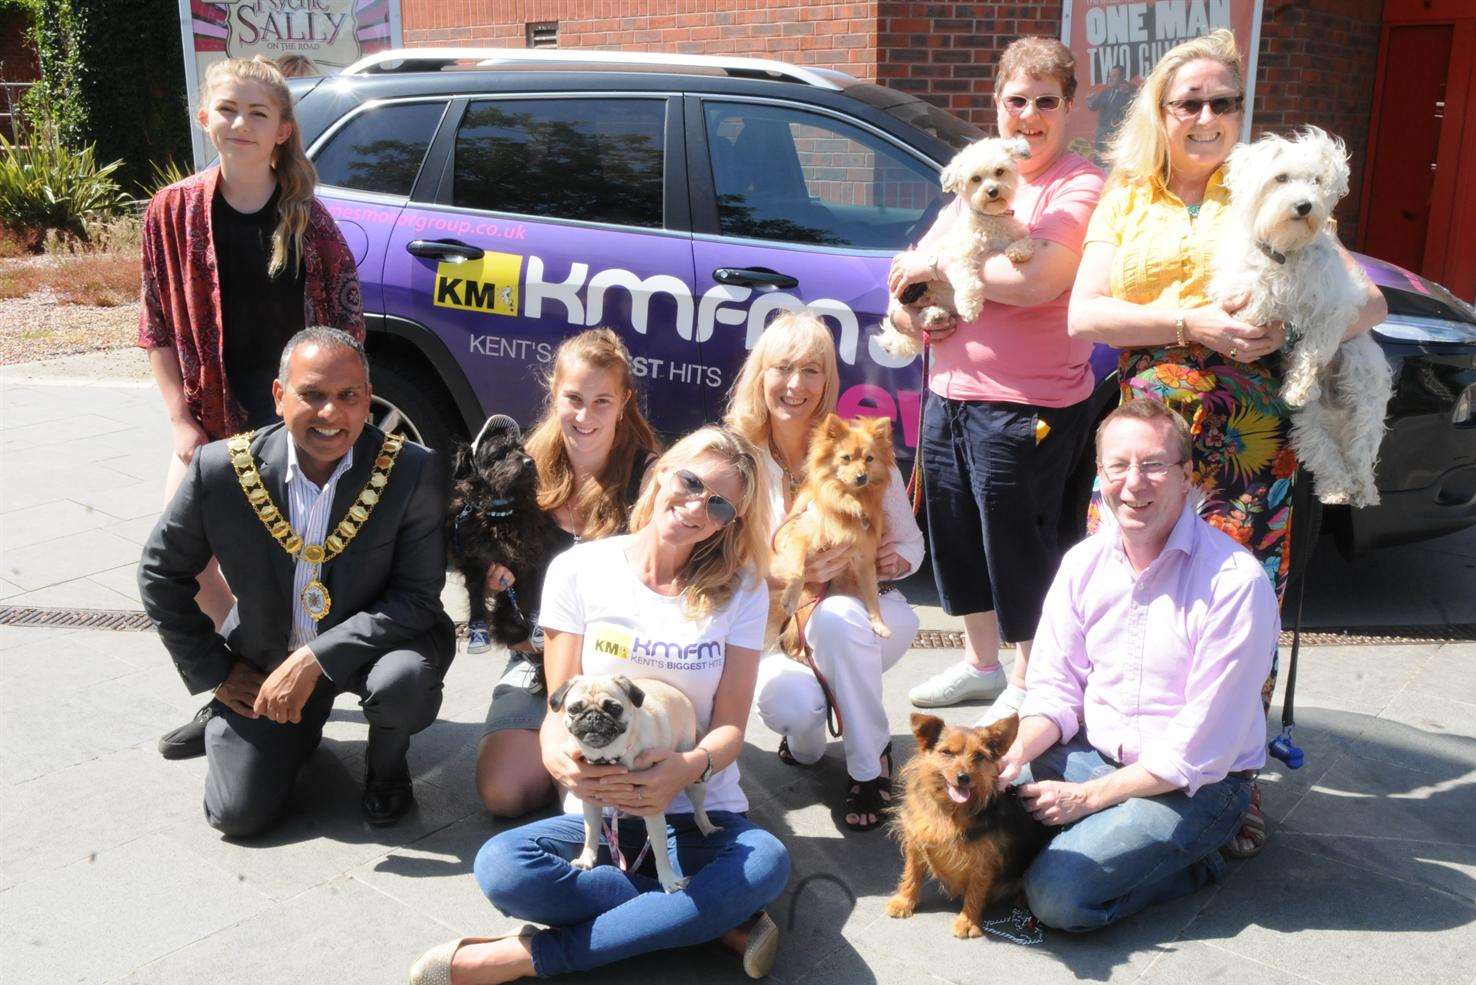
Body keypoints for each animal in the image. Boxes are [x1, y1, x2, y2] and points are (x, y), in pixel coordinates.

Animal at [445, 419, 560, 655]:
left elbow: (532, 592)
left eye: (521, 449)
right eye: (499, 453)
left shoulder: (530, 560)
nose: (529, 462)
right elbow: (475, 594)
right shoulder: (474, 561)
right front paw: (478, 629)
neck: (500, 512)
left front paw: (536, 626)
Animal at [549, 679, 720, 891]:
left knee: (698, 810)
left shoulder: (653, 807)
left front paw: (668, 879)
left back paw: (708, 828)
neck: (609, 757)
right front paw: (586, 859)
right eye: (573, 709)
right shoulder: (590, 802)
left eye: (614, 709)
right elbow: (591, 832)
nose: (593, 717)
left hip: (692, 779)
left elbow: (659, 848)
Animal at [879, 135, 1033, 358]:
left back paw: (937, 314)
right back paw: (933, 315)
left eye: (999, 171)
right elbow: (967, 281)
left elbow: (1025, 239)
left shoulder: (1015, 232)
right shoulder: (959, 257)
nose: (992, 191)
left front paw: (1019, 250)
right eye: (975, 178)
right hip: (909, 290)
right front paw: (970, 307)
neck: (991, 220)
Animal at [885, 711, 1050, 939]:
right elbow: (912, 873)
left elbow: (975, 891)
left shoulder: (983, 860)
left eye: (979, 756)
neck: (949, 812)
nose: (963, 777)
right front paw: (904, 901)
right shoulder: (916, 840)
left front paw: (968, 921)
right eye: (946, 752)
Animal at [1216, 125, 1387, 508]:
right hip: (1309, 422)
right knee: (1324, 452)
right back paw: (1336, 489)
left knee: (1360, 453)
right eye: (1281, 178)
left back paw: (1362, 491)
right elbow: (1255, 298)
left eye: (1317, 180)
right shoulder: (1236, 287)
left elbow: (1313, 346)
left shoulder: (1337, 307)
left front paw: (1299, 385)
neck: (1286, 253)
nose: (1305, 205)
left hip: (1364, 401)